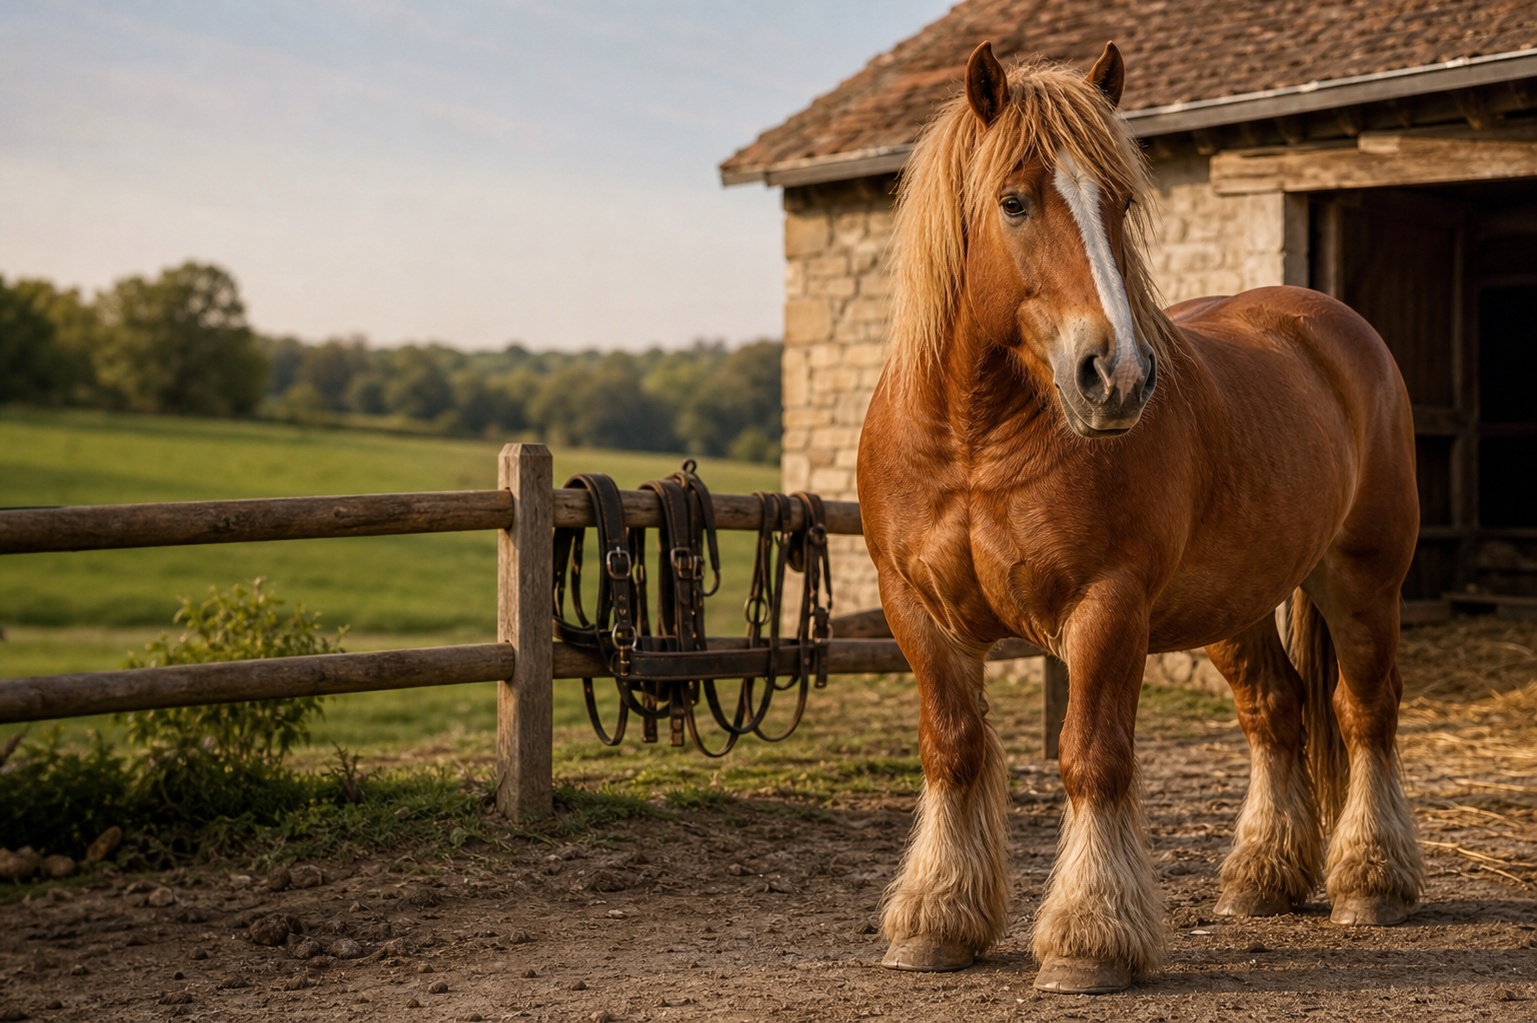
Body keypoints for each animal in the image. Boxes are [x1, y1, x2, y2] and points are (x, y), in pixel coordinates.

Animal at [856, 40, 1424, 994]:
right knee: (1274, 710)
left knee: (1362, 712)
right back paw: (1259, 879)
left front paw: (1087, 939)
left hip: (1361, 580)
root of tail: (1333, 325)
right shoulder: (918, 613)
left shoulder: (1105, 606)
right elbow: (953, 749)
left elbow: (1092, 757)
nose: (1115, 375)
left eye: (1118, 201)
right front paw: (934, 921)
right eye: (1012, 200)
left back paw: (1370, 882)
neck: (971, 442)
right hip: (1230, 606)